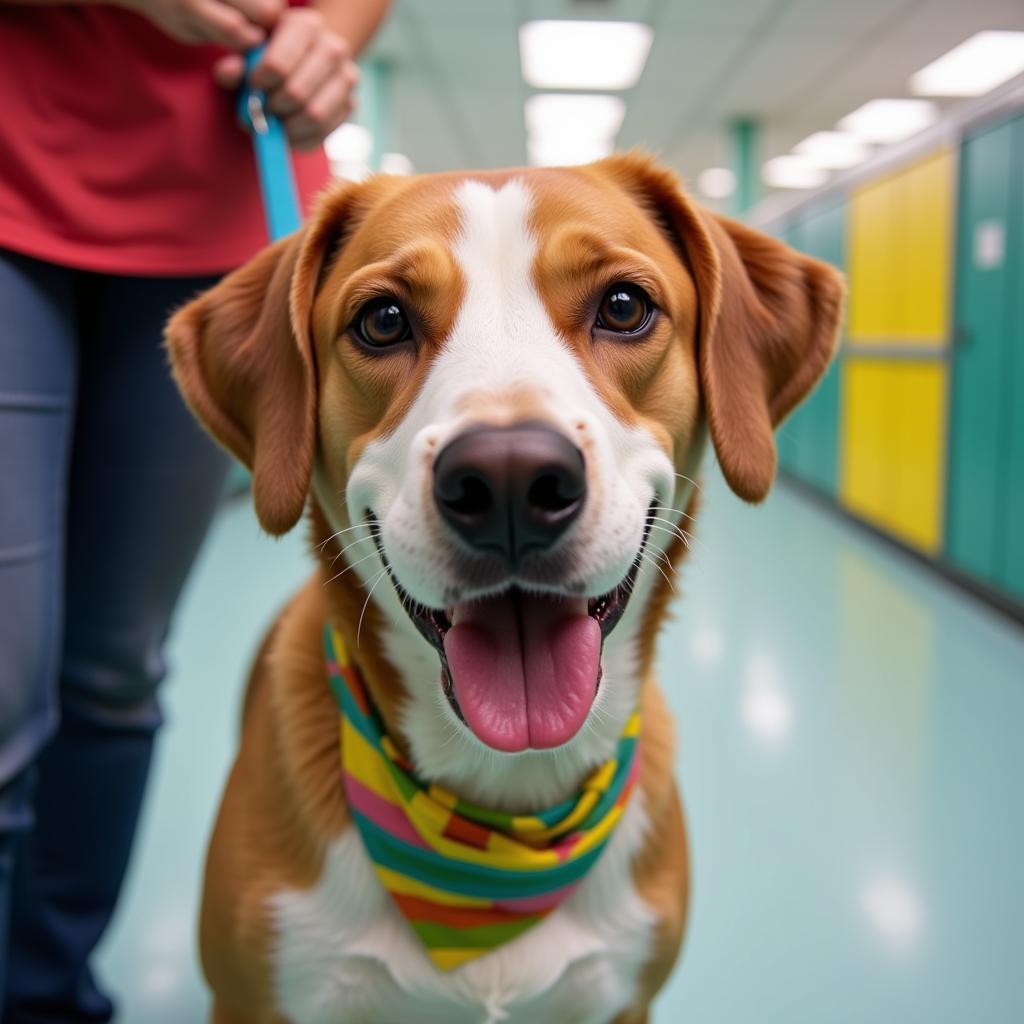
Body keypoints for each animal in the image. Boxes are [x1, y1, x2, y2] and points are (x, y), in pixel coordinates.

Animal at [165, 151, 839, 1024]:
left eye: (624, 306)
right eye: (383, 320)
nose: (511, 479)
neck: (503, 810)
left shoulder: (624, 1002)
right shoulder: (251, 1000)